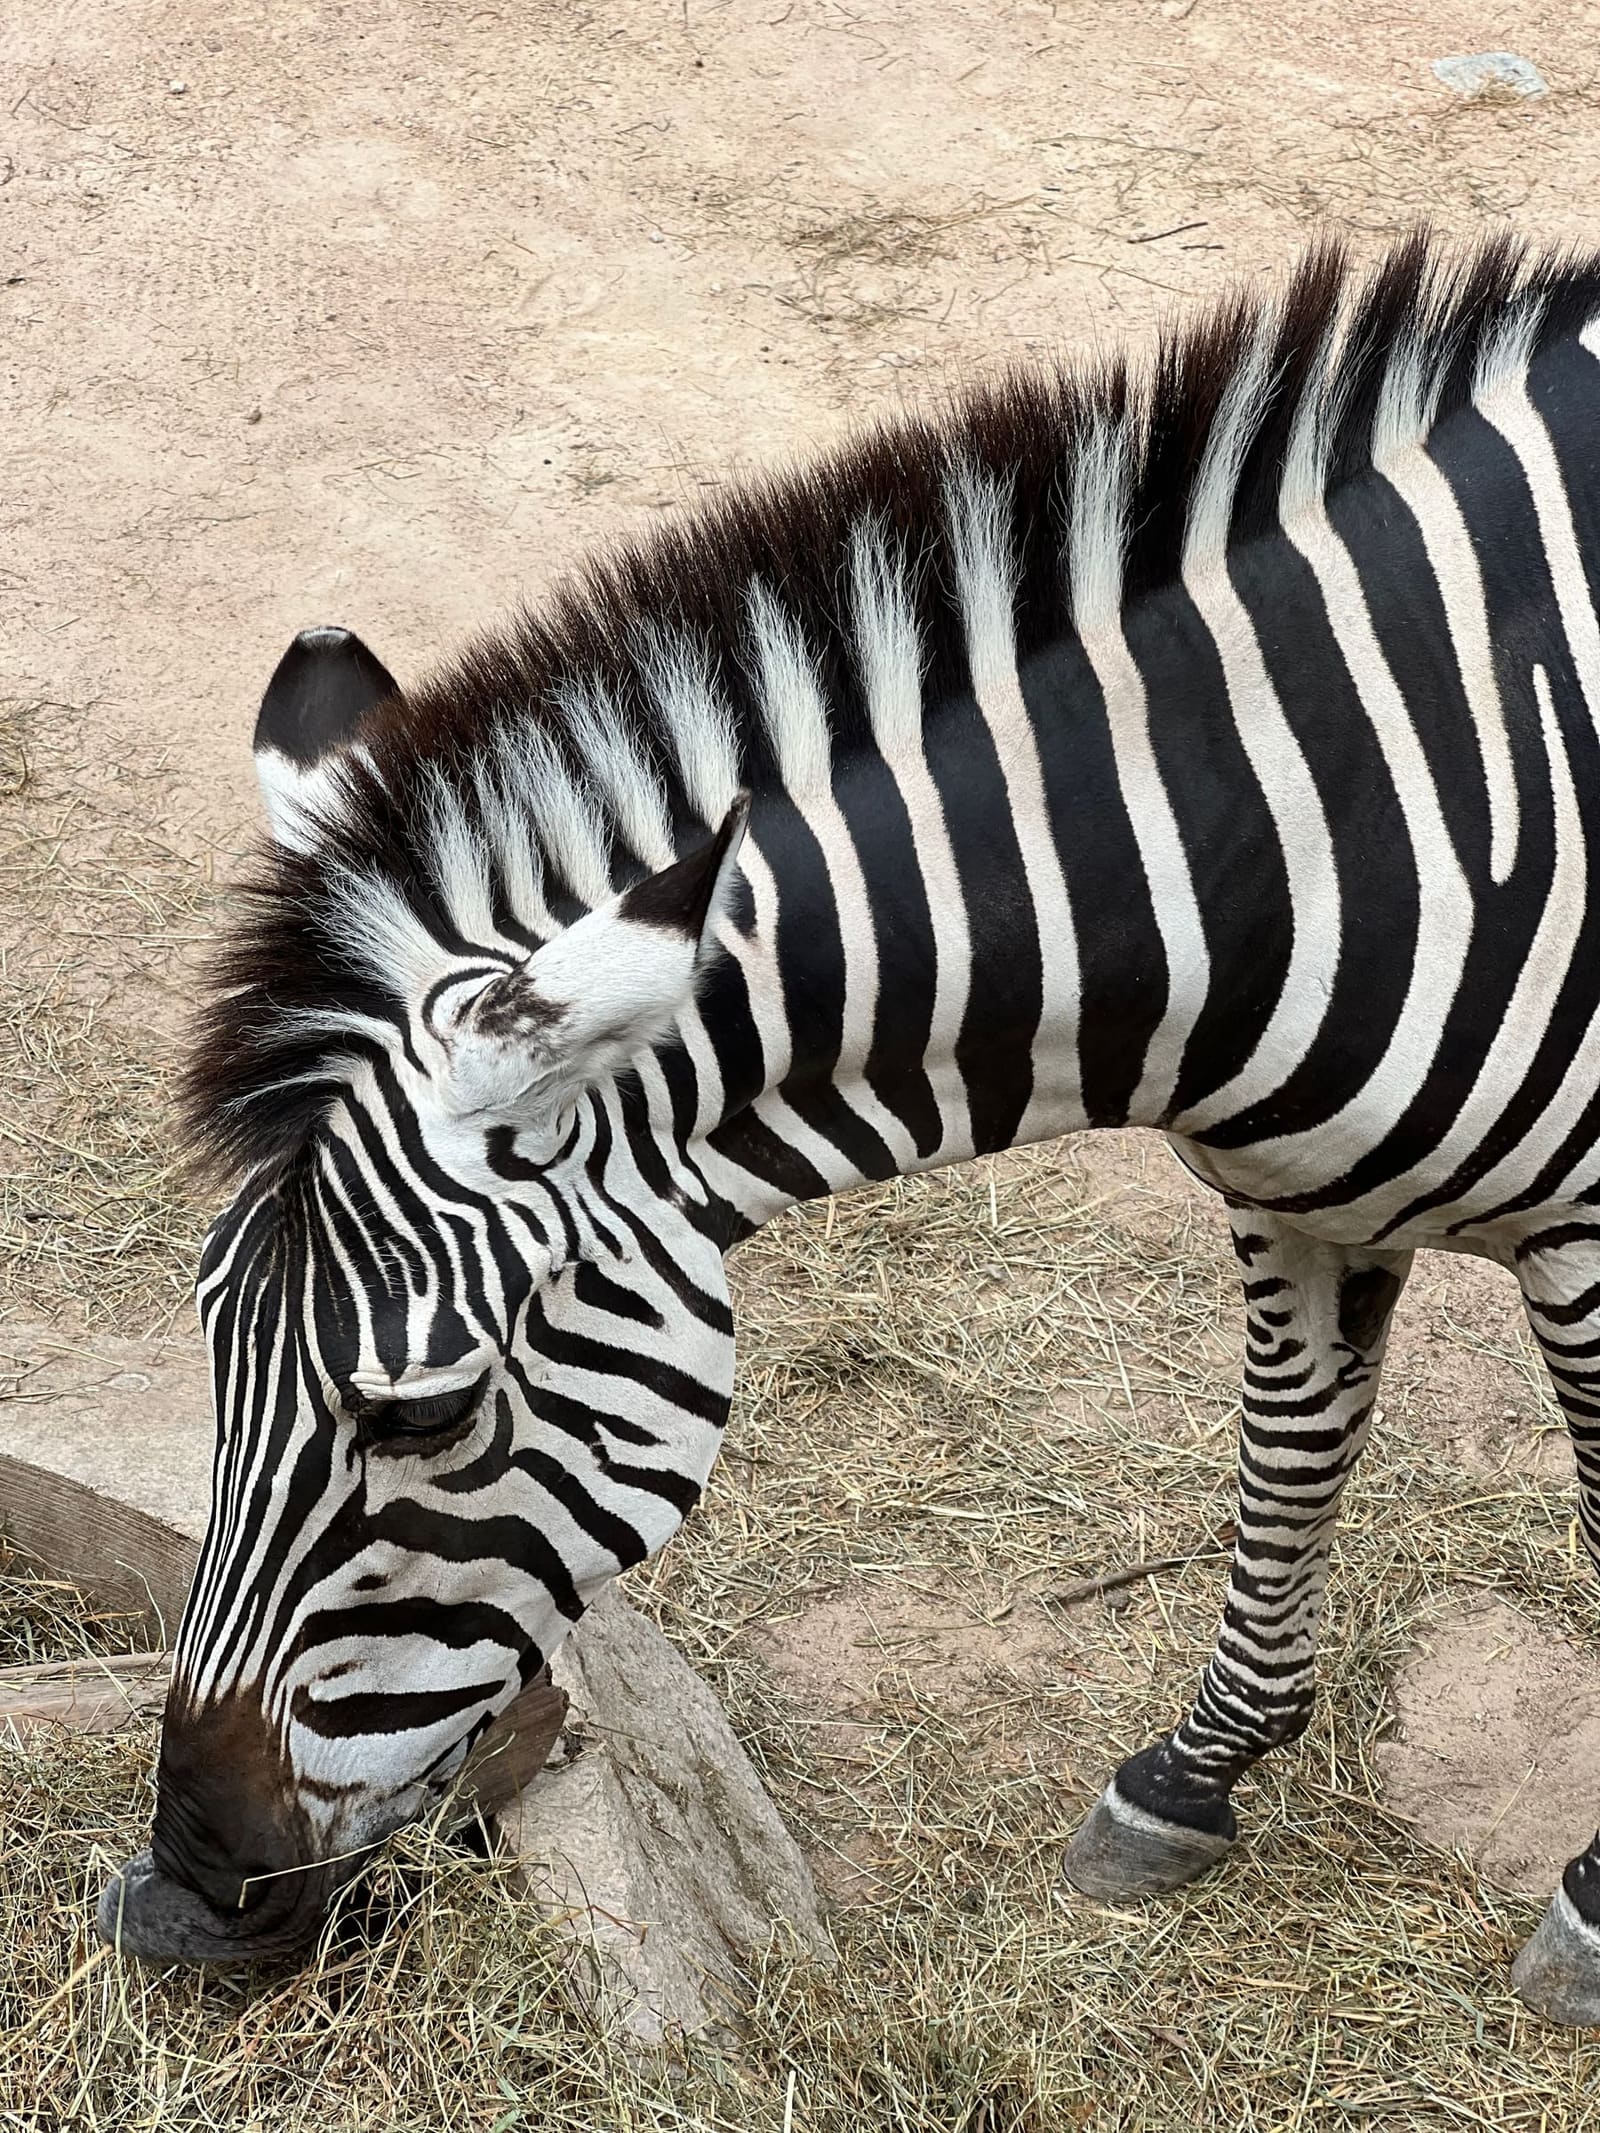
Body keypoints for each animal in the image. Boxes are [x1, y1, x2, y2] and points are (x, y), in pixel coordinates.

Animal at [95, 233, 1600, 2025]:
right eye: (205, 1331)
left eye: (426, 1413)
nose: (179, 1897)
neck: (1324, 814)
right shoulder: (1298, 1191)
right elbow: (1292, 1453)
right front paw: (1191, 1776)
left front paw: (1592, 1906)